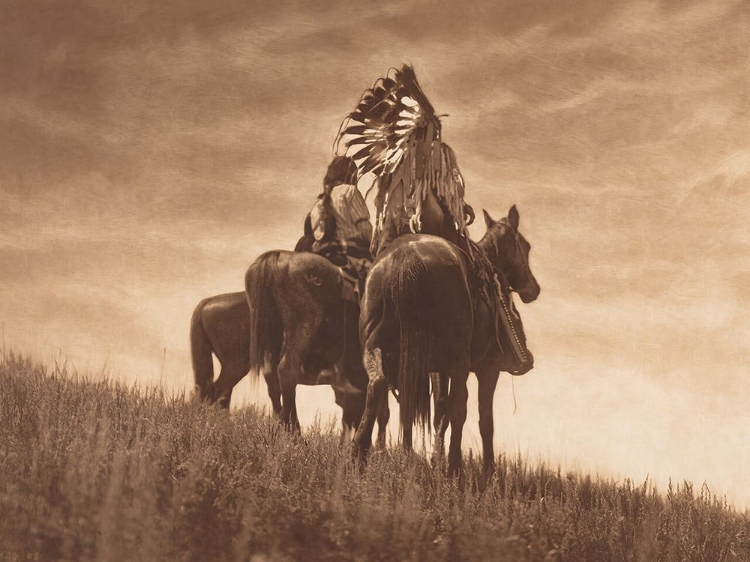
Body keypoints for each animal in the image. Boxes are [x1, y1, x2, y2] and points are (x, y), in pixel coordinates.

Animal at [247, 249, 390, 442]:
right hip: (303, 330)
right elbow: (381, 412)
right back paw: (294, 435)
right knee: (286, 370)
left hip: (271, 339)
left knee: (273, 377)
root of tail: (278, 256)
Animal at [354, 203, 536, 474]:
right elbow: (483, 419)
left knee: (377, 385)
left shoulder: (437, 368)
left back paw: (358, 454)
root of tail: (404, 255)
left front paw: (435, 459)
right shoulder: (488, 368)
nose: (534, 289)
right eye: (525, 245)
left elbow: (440, 410)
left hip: (374, 347)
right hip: (458, 360)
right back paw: (454, 468)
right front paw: (487, 470)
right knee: (459, 407)